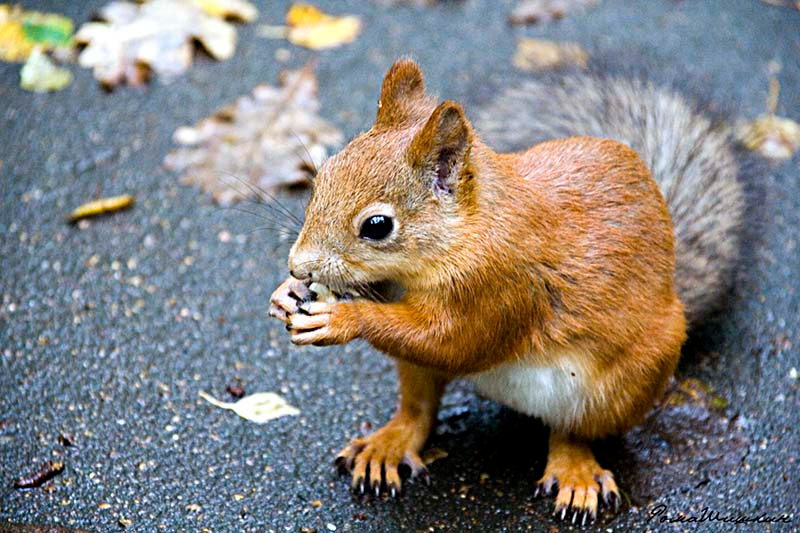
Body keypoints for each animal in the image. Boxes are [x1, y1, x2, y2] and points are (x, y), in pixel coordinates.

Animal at [268, 58, 746, 524]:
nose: (297, 264)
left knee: (572, 431)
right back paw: (389, 443)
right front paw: (287, 291)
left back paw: (575, 471)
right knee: (419, 408)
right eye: (321, 179)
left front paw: (343, 318)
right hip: (420, 375)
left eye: (377, 226)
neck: (466, 231)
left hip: (620, 388)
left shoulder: (500, 285)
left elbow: (453, 341)